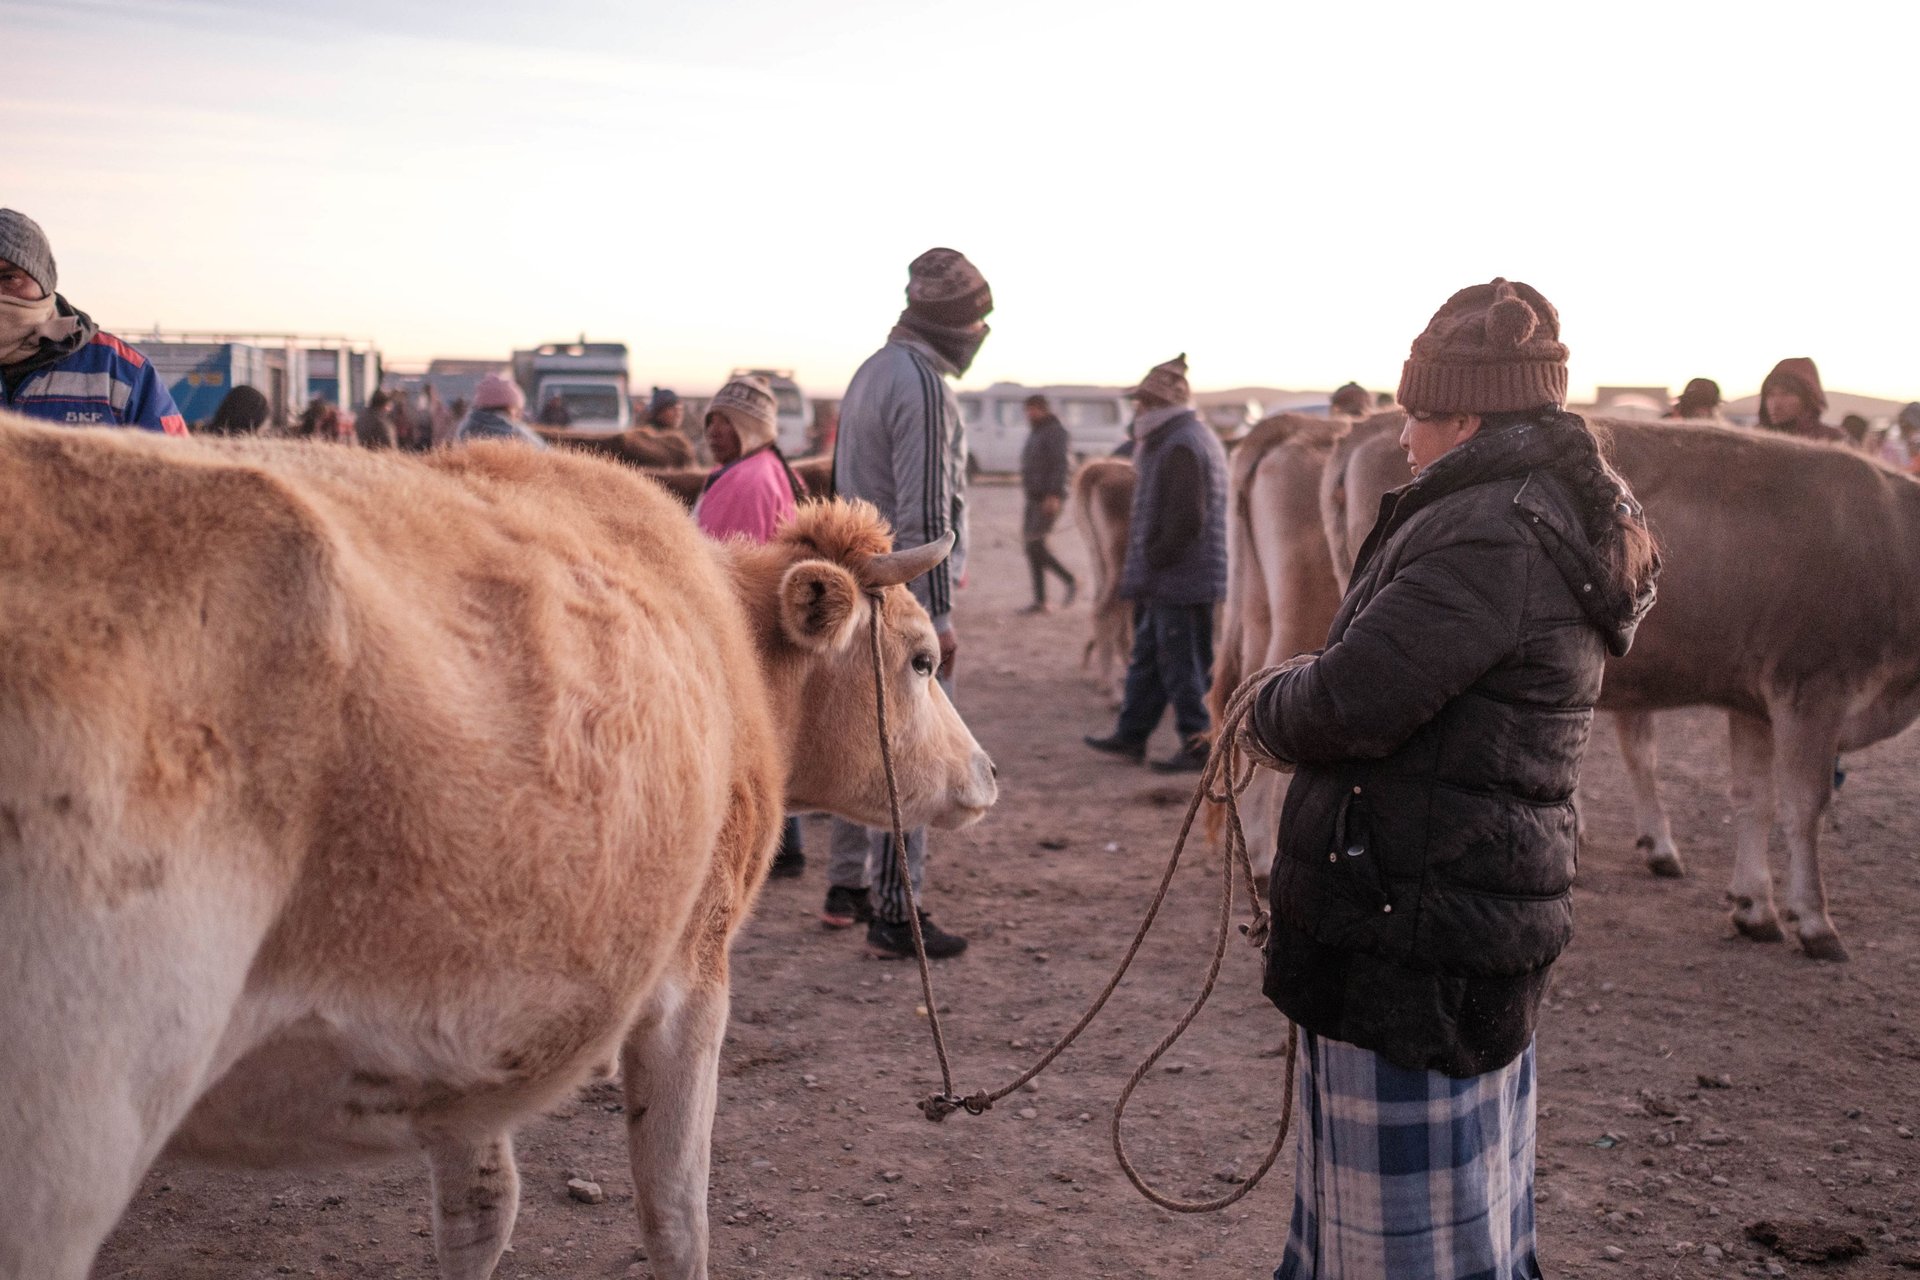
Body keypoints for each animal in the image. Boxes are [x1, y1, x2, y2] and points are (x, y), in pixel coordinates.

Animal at [0, 416, 990, 1274]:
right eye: (919, 658)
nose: (985, 774)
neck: (733, 651)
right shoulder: (691, 980)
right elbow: (677, 1214)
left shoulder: (476, 1024)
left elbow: (481, 1209)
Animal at [1067, 458, 1136, 706]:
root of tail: (1099, 467)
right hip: (1121, 564)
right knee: (1107, 611)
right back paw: (1111, 690)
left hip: (1098, 561)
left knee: (1101, 609)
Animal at [1320, 418, 1920, 959]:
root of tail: (1366, 428)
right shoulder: (1813, 687)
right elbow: (1804, 806)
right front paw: (1815, 920)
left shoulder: (1753, 702)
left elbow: (1756, 800)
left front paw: (1755, 907)